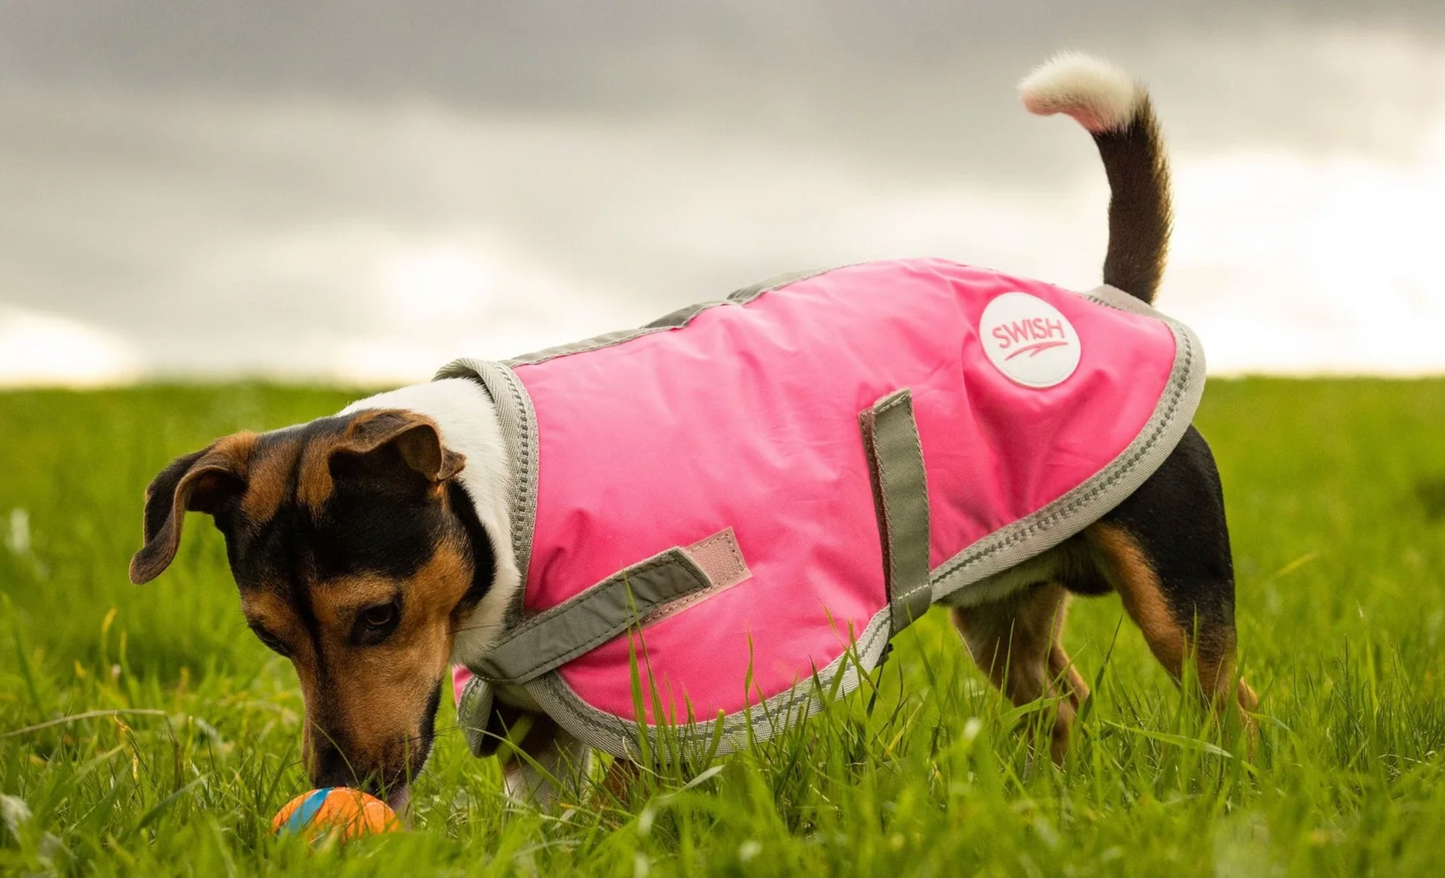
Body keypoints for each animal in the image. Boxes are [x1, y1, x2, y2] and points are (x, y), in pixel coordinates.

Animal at [130, 53, 1254, 808]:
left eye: (375, 617)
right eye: (269, 636)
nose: (346, 786)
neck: (499, 501)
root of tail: (1103, 300)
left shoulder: (662, 690)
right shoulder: (538, 722)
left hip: (1174, 583)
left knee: (1223, 699)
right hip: (1004, 608)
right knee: (1055, 702)